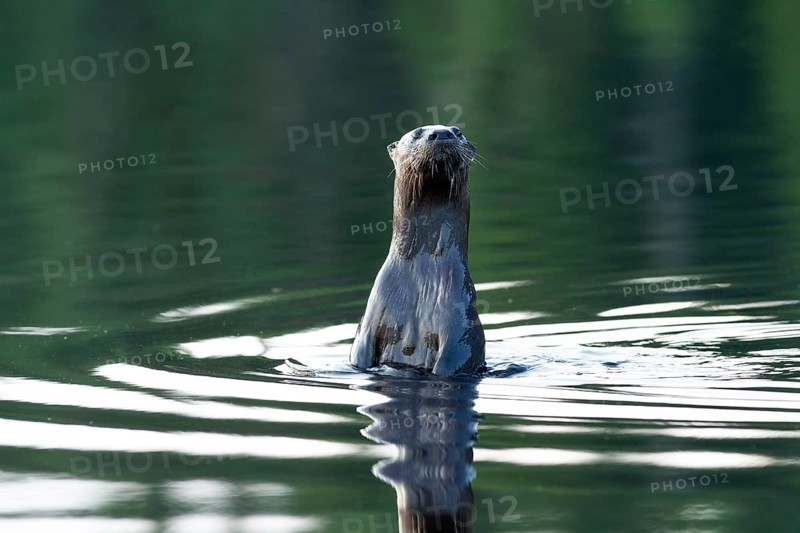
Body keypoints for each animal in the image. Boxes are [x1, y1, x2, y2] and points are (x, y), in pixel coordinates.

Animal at [349, 124, 485, 376]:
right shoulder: (368, 323)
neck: (423, 281)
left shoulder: (462, 332)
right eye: (417, 133)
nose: (441, 133)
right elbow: (359, 353)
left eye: (457, 131)